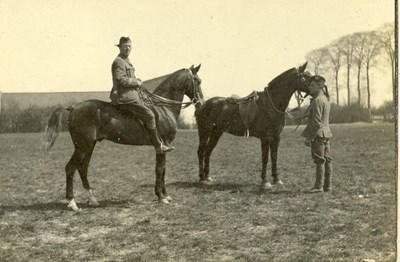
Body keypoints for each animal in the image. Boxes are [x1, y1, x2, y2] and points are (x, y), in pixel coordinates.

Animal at [41, 65, 203, 211]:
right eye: (198, 80)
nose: (201, 103)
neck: (163, 108)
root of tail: (73, 107)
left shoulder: (162, 148)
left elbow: (162, 169)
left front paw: (165, 195)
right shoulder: (162, 145)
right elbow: (160, 169)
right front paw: (162, 196)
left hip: (89, 146)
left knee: (82, 168)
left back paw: (92, 199)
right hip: (82, 146)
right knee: (70, 168)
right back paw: (72, 203)